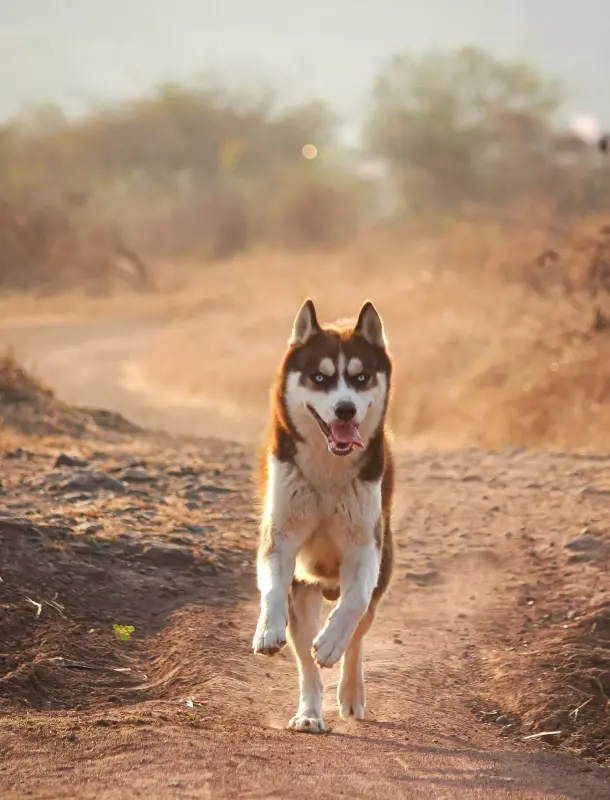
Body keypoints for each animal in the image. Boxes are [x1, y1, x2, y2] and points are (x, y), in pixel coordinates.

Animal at [252, 298, 394, 732]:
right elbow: (272, 588)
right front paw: (267, 629)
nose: (345, 410)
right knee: (306, 666)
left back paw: (349, 692)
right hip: (304, 593)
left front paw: (331, 642)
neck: (328, 474)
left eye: (361, 378)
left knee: (357, 637)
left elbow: (354, 603)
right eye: (320, 377)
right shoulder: (280, 536)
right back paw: (309, 714)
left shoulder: (366, 548)